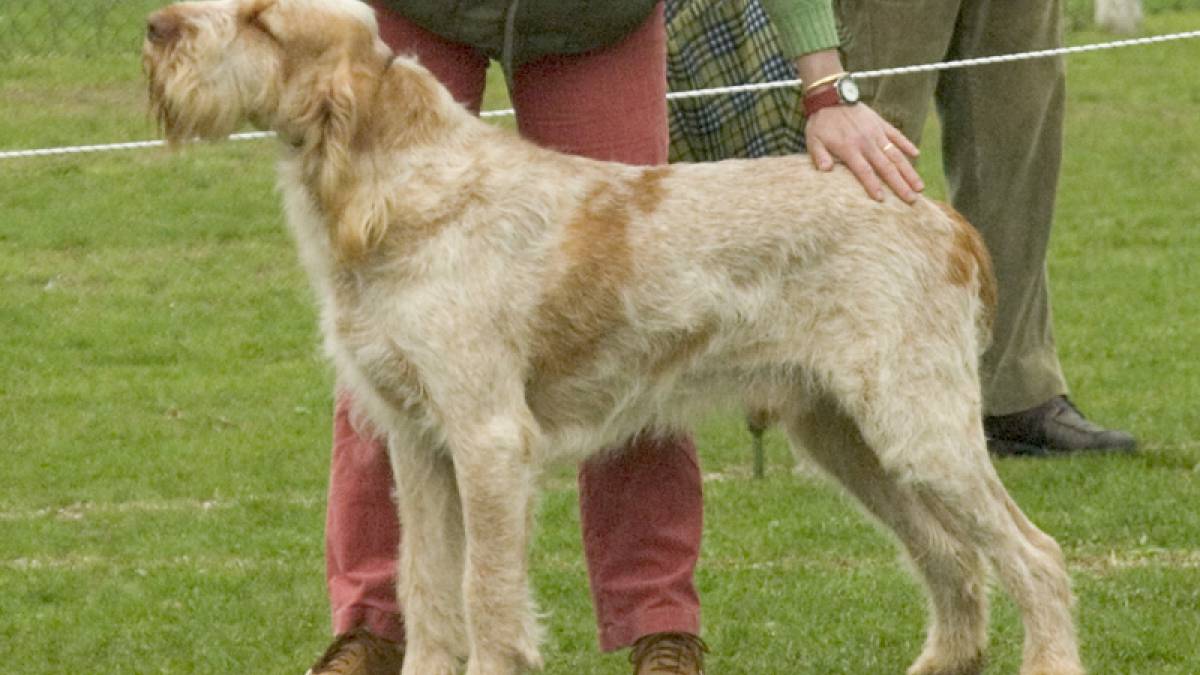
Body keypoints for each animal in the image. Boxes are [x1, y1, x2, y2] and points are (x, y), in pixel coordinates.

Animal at [145, 1, 1084, 672]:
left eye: (263, 22)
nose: (155, 27)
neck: (407, 185)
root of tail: (942, 215)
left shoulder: (488, 439)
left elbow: (485, 596)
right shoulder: (417, 443)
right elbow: (427, 593)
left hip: (918, 430)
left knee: (1034, 556)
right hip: (844, 436)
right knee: (954, 559)